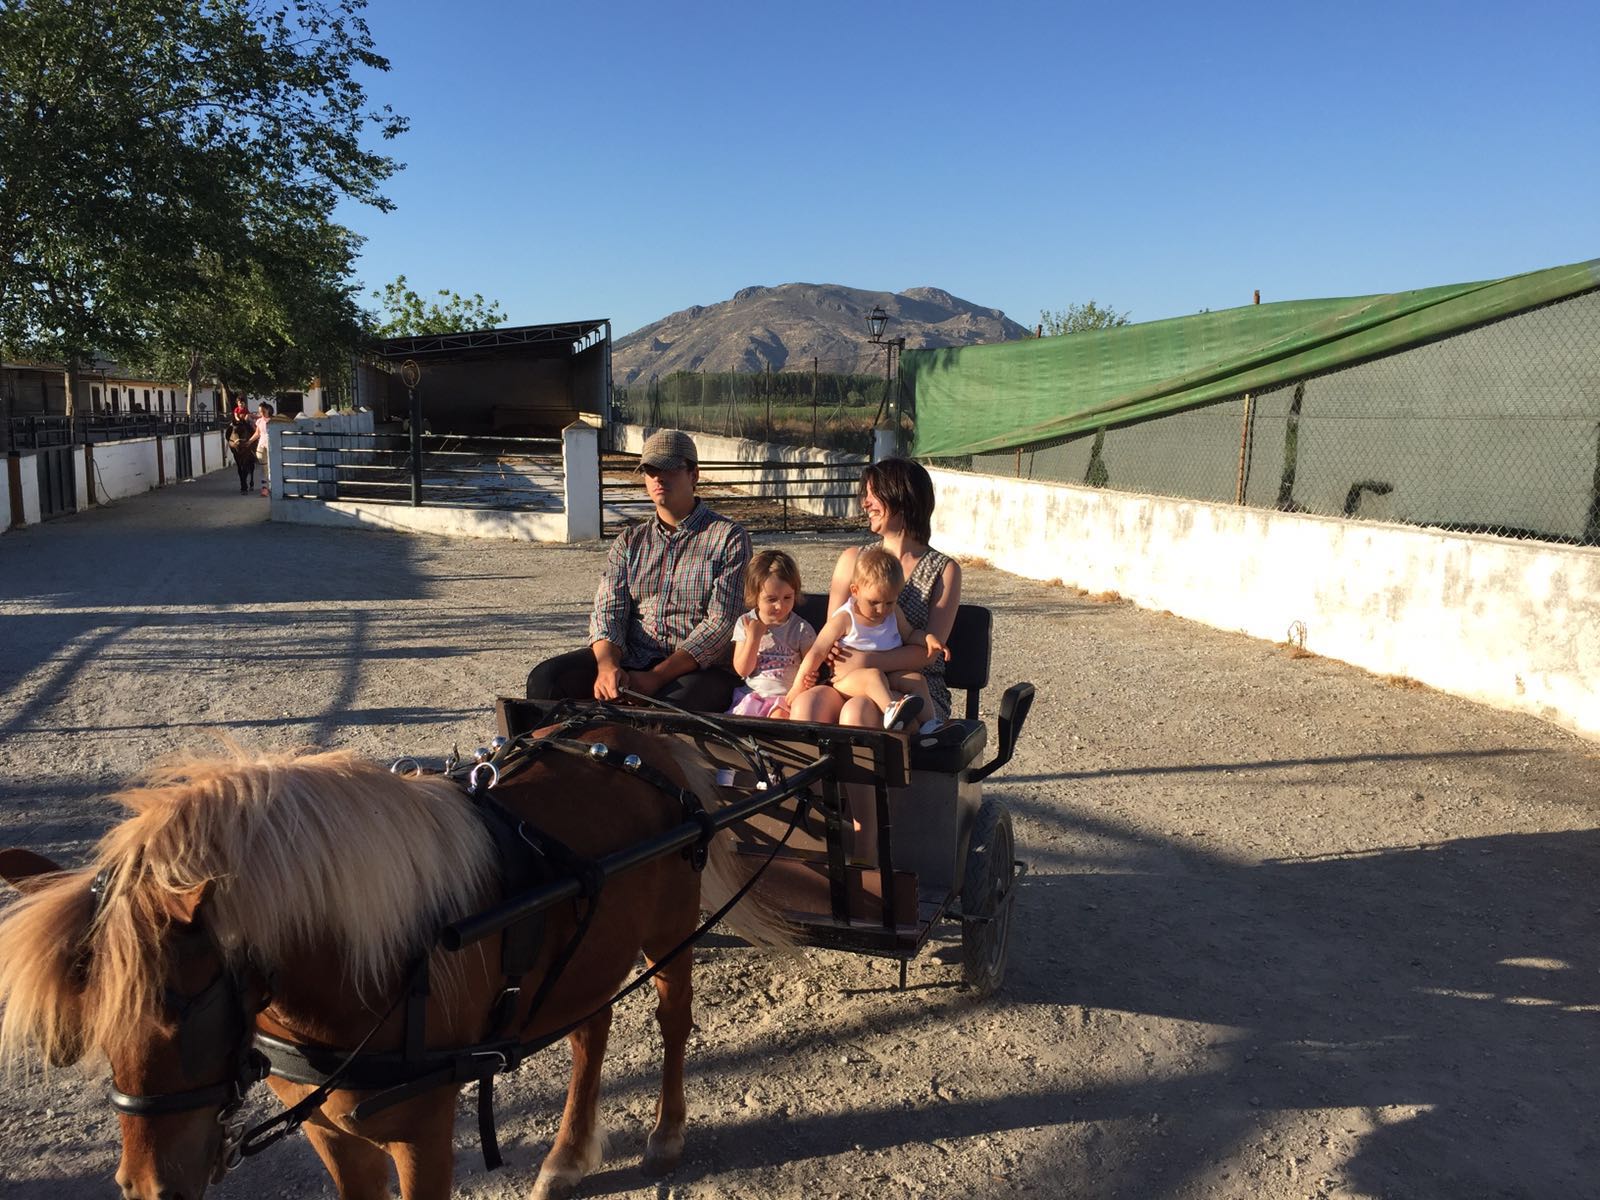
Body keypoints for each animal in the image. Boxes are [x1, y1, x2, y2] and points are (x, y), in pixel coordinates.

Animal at [0, 729, 780, 1200]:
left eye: (179, 1012)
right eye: (89, 1027)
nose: (147, 1186)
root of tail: (643, 742)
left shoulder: (424, 1137)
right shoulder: (334, 1136)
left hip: (669, 934)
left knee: (673, 1021)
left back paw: (667, 1132)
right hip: (587, 952)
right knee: (593, 1030)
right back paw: (565, 1158)